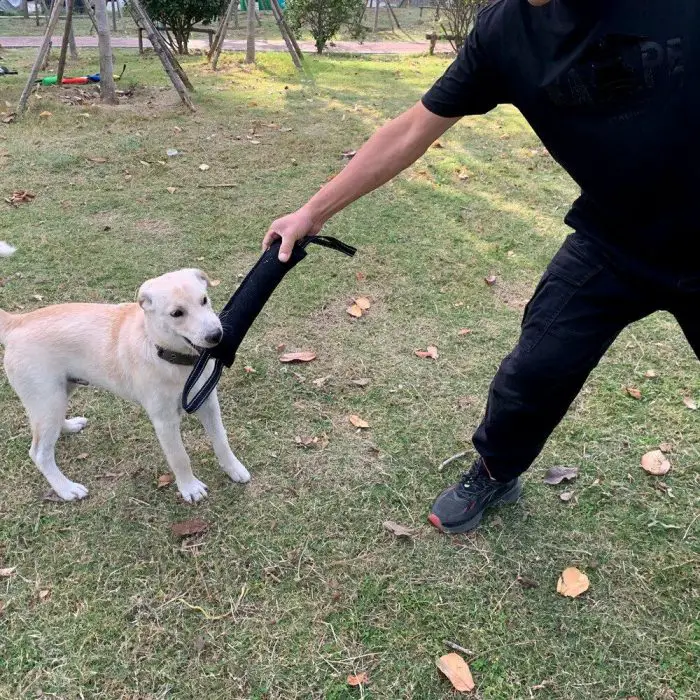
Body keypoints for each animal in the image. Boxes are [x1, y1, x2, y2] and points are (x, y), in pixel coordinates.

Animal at [0, 258, 252, 504]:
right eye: (177, 313)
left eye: (204, 300)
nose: (216, 336)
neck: (168, 355)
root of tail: (18, 322)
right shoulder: (165, 421)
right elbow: (179, 457)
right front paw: (189, 487)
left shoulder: (208, 403)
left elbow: (221, 440)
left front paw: (234, 469)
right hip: (47, 400)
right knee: (39, 453)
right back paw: (66, 489)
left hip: (59, 394)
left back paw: (70, 426)